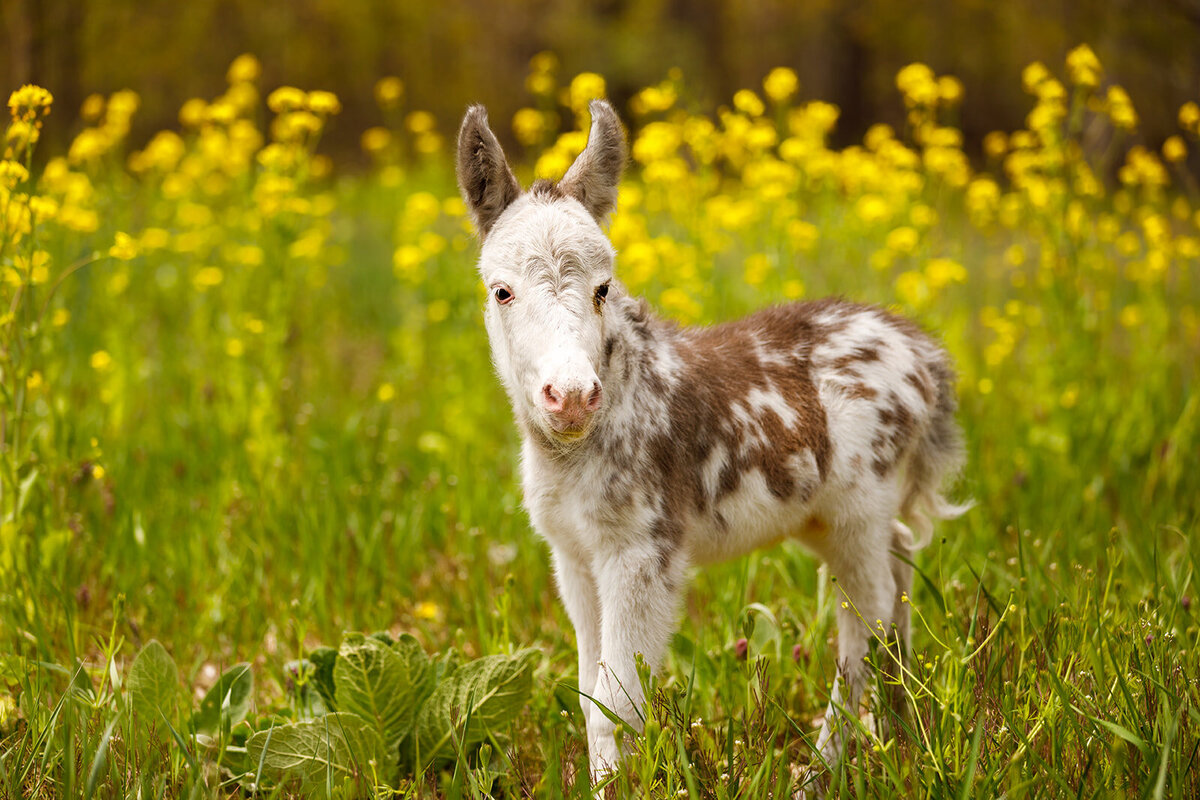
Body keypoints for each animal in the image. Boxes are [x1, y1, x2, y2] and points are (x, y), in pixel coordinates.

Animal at [453, 98, 969, 786]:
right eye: (501, 290)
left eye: (603, 287)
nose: (572, 396)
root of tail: (928, 358)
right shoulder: (573, 554)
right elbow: (590, 696)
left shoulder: (646, 548)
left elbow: (618, 704)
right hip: (824, 516)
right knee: (902, 561)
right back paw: (895, 733)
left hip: (860, 502)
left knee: (868, 615)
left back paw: (823, 767)